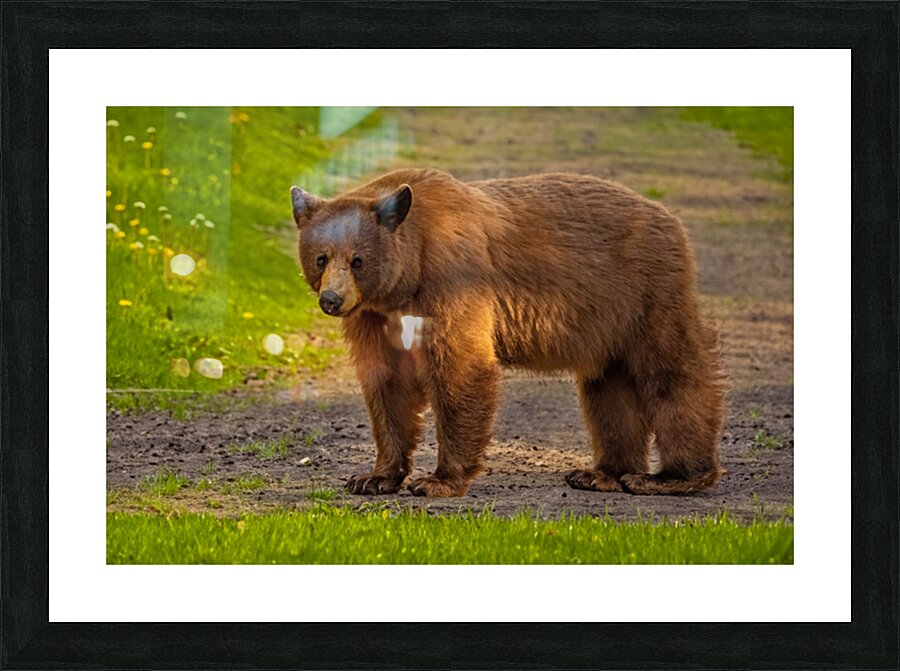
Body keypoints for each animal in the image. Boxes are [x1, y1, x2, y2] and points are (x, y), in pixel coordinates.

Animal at [291, 168, 725, 497]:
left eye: (358, 260)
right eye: (321, 257)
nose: (332, 299)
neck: (408, 274)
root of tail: (668, 216)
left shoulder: (453, 281)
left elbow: (461, 369)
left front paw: (437, 480)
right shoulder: (375, 316)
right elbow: (388, 382)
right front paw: (374, 476)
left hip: (645, 291)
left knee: (672, 372)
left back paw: (670, 476)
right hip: (608, 324)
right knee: (609, 388)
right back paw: (601, 473)